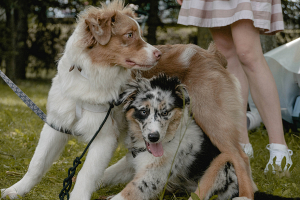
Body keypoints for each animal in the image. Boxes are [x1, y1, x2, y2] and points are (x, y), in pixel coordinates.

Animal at [1, 0, 255, 199]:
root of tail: (212, 55)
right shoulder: (57, 123)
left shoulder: (104, 135)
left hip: (213, 119)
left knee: (239, 157)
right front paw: (16, 190)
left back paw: (245, 194)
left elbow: (85, 175)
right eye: (130, 35)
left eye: (139, 34)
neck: (92, 75)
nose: (158, 54)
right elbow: (37, 163)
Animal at [99, 74, 298, 200]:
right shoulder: (130, 163)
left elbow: (128, 192)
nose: (153, 137)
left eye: (166, 112)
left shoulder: (153, 177)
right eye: (143, 111)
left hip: (221, 165)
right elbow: (106, 174)